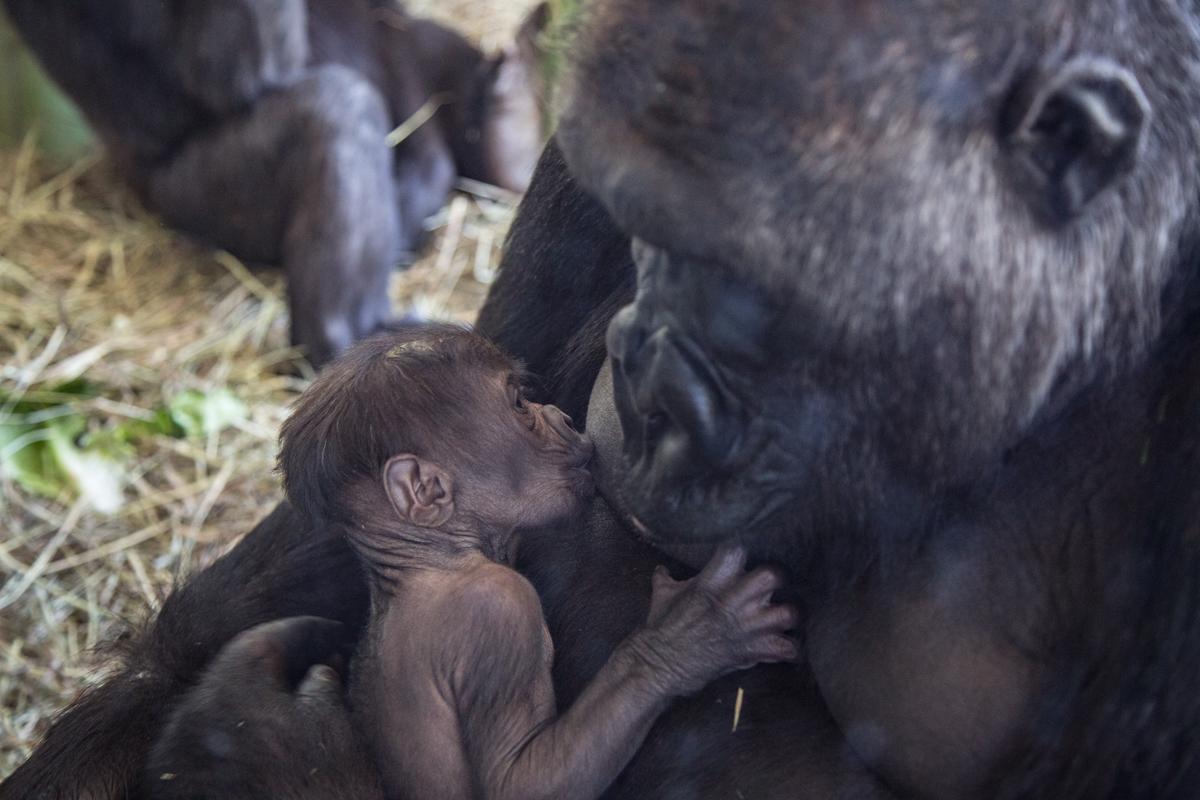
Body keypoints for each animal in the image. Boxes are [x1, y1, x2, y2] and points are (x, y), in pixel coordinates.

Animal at [274, 326, 792, 800]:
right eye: (520, 405)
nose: (561, 416)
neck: (426, 559)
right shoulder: (496, 610)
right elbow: (520, 783)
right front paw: (689, 637)